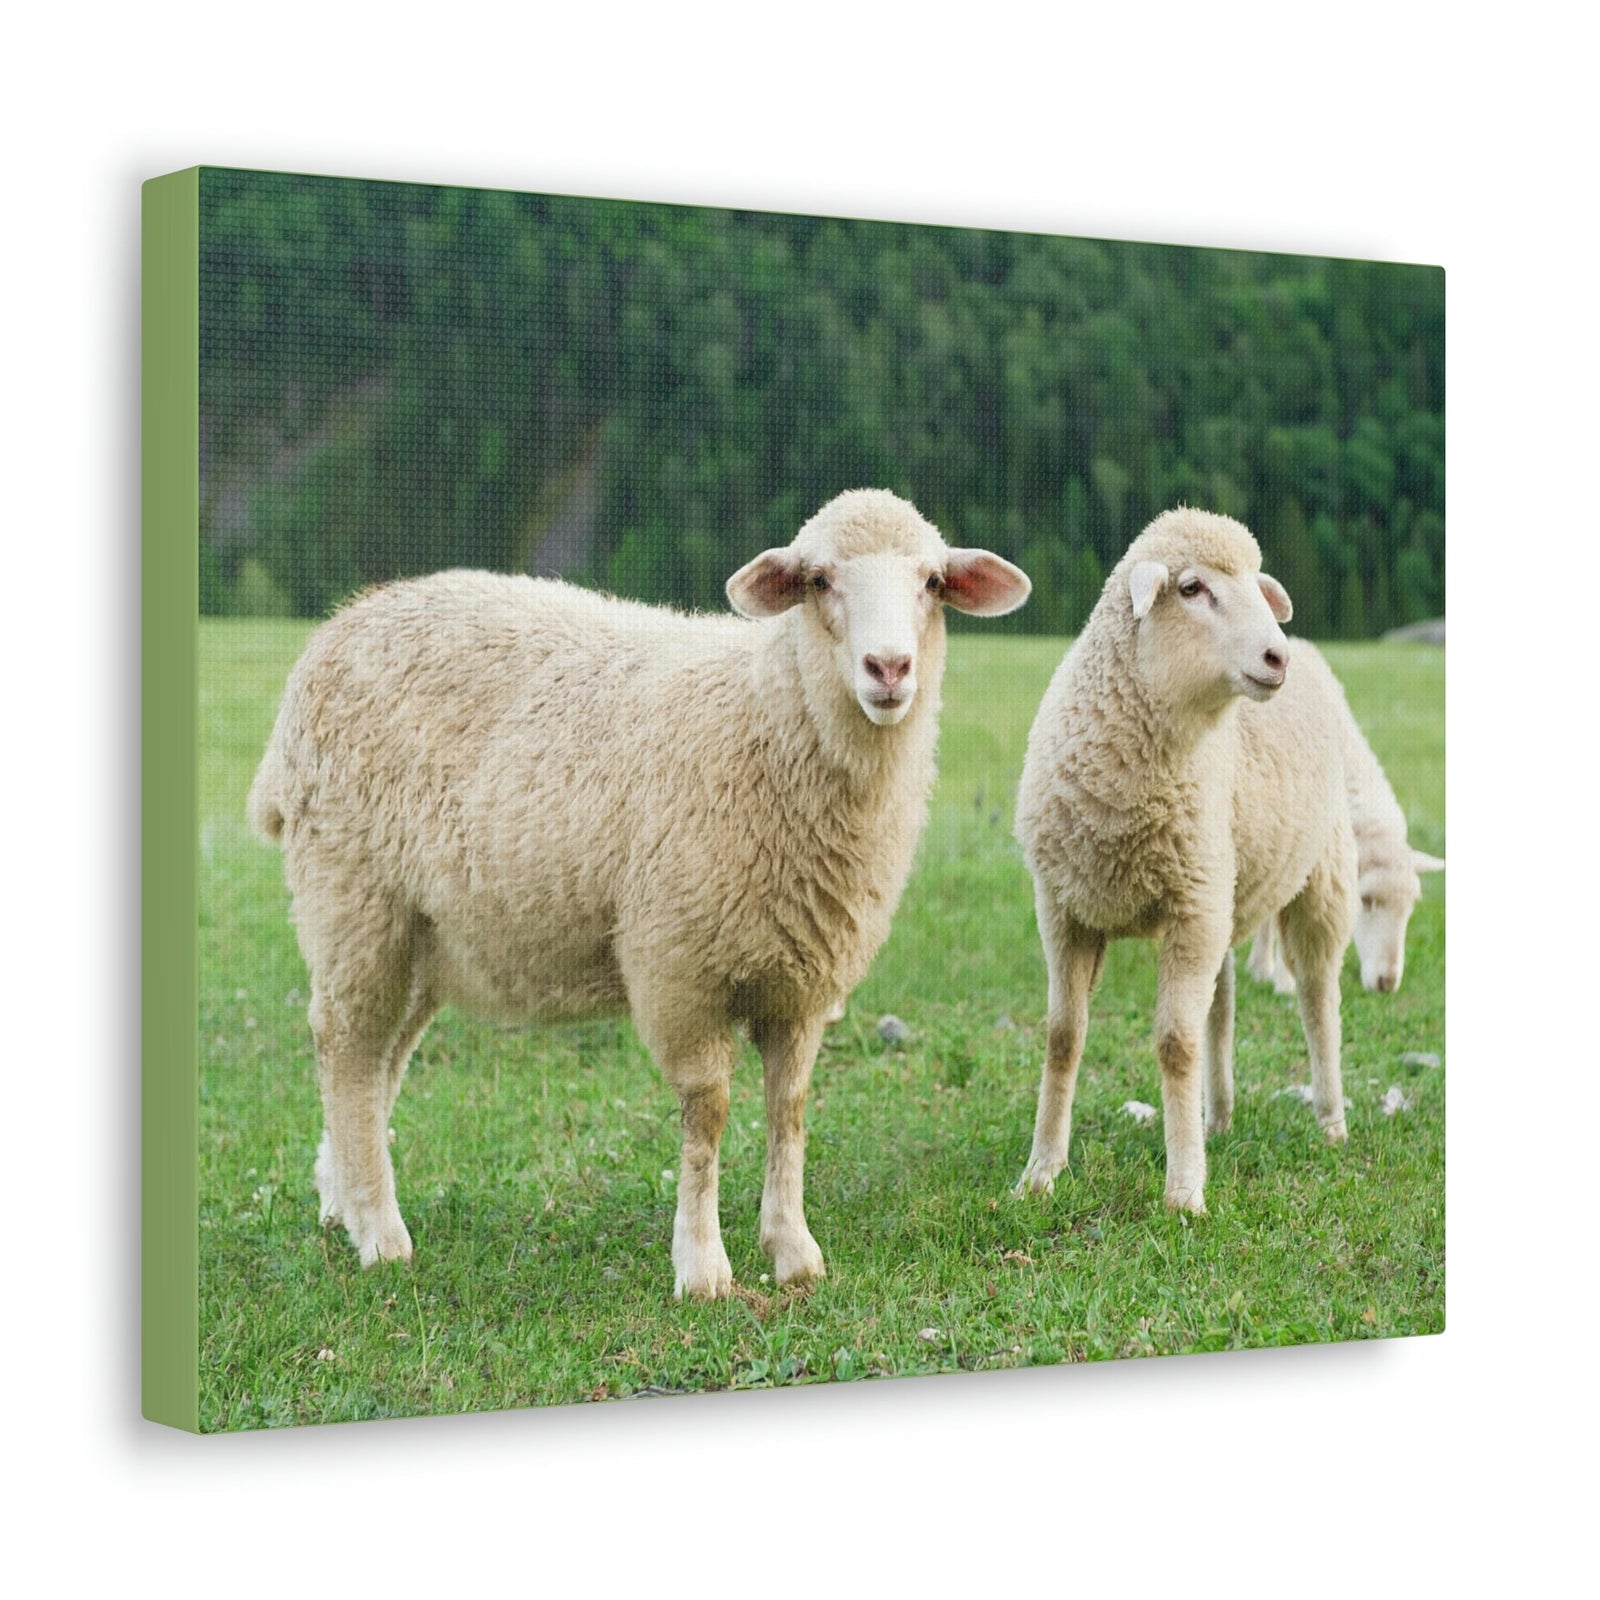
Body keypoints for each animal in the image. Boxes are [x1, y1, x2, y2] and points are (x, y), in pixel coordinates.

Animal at [247, 489, 1030, 1300]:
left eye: (933, 582)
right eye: (818, 581)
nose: (890, 668)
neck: (769, 721)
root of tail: (335, 631)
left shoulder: (803, 981)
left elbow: (789, 1109)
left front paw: (792, 1249)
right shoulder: (679, 965)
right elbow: (707, 1113)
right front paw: (703, 1266)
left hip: (425, 934)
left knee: (380, 1061)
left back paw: (342, 1201)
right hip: (352, 896)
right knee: (346, 1048)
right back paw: (380, 1234)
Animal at [1012, 507, 1355, 1214]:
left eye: (1257, 584)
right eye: (1193, 588)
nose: (1275, 656)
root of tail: (1312, 650)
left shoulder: (1189, 911)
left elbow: (1175, 1044)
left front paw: (1184, 1191)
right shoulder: (1063, 909)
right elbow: (1063, 1037)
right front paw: (1041, 1172)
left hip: (1318, 877)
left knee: (1318, 999)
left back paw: (1330, 1120)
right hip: (1221, 887)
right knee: (1220, 1011)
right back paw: (1215, 1118)